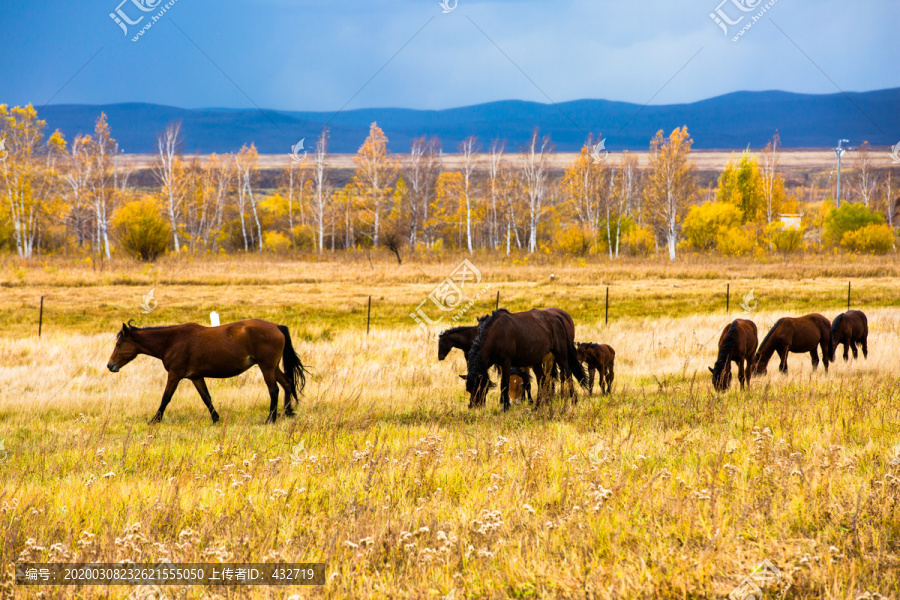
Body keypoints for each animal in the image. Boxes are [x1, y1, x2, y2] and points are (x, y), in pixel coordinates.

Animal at [105, 322, 308, 424]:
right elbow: (206, 398)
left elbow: (166, 397)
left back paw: (270, 418)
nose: (110, 365)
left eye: (119, 344)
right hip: (273, 367)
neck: (172, 340)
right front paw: (215, 418)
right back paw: (287, 412)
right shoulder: (196, 377)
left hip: (266, 367)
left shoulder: (175, 375)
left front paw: (155, 420)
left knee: (274, 390)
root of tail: (276, 327)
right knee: (287, 383)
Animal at [464, 308, 592, 410]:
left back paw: (573, 400)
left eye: (481, 388)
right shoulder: (500, 364)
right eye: (469, 389)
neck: (497, 333)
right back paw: (538, 405)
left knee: (568, 374)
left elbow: (504, 385)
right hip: (537, 361)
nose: (473, 406)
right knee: (542, 379)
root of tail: (556, 318)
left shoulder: (506, 362)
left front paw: (505, 408)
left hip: (560, 355)